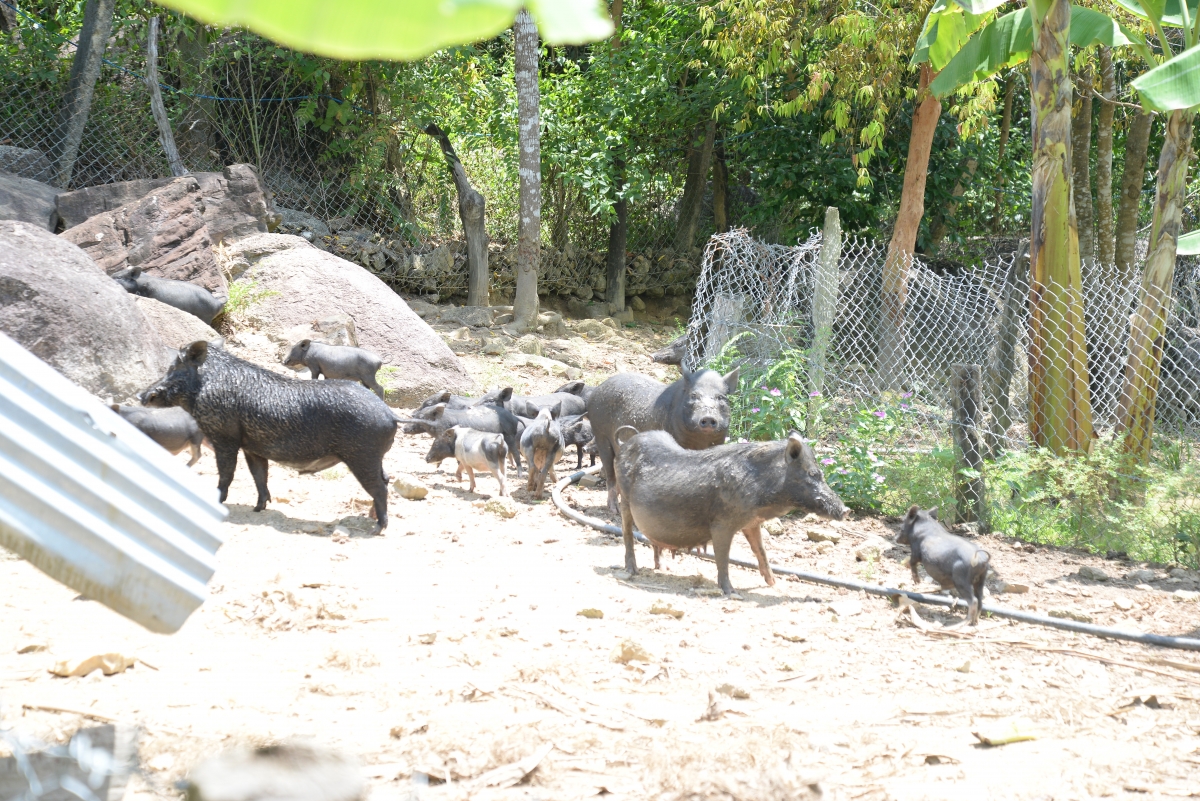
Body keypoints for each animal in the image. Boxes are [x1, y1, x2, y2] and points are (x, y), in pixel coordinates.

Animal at [139, 340, 393, 532]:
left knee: (380, 487)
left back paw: (378, 528)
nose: (142, 395)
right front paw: (258, 508)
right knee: (386, 479)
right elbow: (259, 476)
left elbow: (226, 474)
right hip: (372, 457)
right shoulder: (251, 446)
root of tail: (390, 415)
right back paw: (371, 518)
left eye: (174, 368)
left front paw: (218, 501)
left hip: (362, 455)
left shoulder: (225, 437)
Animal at [585, 369, 734, 513]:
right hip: (601, 434)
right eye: (694, 395)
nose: (708, 417)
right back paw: (614, 510)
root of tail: (598, 389)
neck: (700, 441)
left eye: (721, 397)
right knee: (610, 472)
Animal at [614, 431, 849, 594]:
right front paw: (732, 592)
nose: (846, 510)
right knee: (627, 533)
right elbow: (723, 558)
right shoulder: (722, 524)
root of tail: (625, 444)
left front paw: (774, 584)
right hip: (623, 498)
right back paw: (633, 571)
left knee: (654, 541)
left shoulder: (752, 523)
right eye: (813, 474)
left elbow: (761, 552)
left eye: (820, 474)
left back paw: (664, 569)